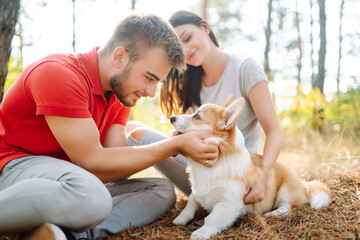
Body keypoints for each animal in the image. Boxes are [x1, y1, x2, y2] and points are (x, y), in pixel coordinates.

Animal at [170, 96, 330, 239]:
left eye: (197, 116)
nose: (171, 118)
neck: (216, 161)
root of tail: (304, 184)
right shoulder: (198, 191)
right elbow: (191, 202)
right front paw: (181, 218)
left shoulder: (227, 204)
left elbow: (213, 219)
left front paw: (201, 232)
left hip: (285, 190)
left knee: (287, 207)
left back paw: (274, 213)